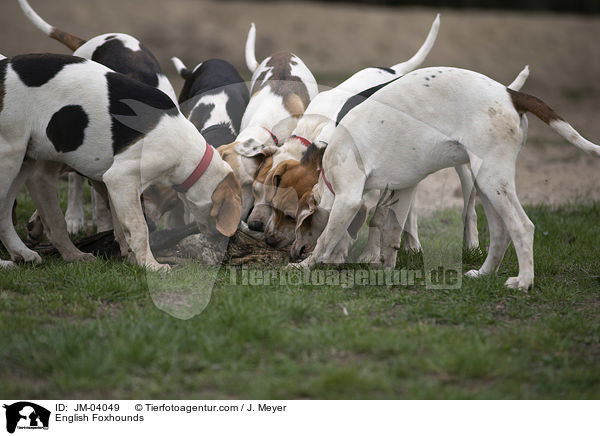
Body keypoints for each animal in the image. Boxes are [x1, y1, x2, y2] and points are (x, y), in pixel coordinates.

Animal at [0, 53, 239, 270]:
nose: (219, 238)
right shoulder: (121, 179)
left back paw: (28, 253)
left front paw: (131, 257)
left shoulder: (114, 186)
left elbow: (121, 226)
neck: (190, 152)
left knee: (10, 214)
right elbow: (139, 226)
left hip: (26, 162)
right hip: (10, 158)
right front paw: (150, 265)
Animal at [18, 0, 178, 235]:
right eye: (151, 191)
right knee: (74, 181)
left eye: (170, 205)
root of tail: (91, 40)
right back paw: (74, 217)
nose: (152, 224)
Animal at [292, 65, 600, 290]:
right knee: (500, 233)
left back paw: (523, 282)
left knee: (523, 227)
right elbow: (391, 234)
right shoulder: (403, 191)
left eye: (298, 223)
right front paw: (385, 268)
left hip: (491, 180)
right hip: (486, 185)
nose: (292, 252)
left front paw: (304, 267)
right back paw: (484, 273)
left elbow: (326, 239)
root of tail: (509, 93)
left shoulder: (348, 198)